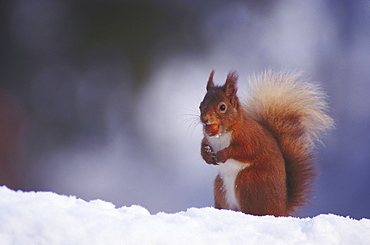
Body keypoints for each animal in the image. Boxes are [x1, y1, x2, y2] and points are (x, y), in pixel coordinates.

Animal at [201, 69, 334, 216]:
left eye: (222, 107)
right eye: (200, 105)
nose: (204, 119)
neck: (222, 133)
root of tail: (281, 210)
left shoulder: (250, 137)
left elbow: (245, 150)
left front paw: (223, 154)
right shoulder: (208, 138)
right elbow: (203, 144)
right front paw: (206, 154)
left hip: (248, 181)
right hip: (220, 186)